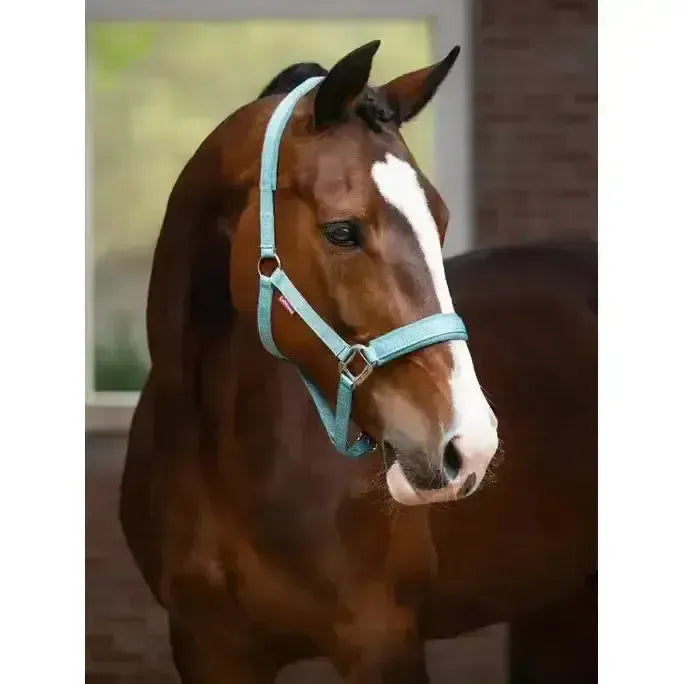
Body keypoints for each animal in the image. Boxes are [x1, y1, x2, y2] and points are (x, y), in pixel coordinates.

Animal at [120, 41, 596, 683]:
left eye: (441, 220)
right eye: (341, 230)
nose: (470, 445)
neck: (218, 454)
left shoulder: (381, 642)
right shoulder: (208, 648)